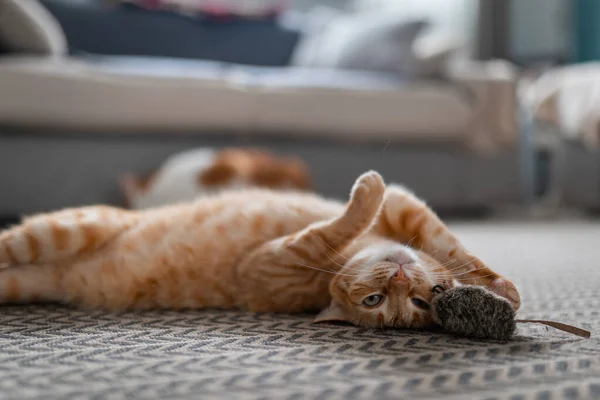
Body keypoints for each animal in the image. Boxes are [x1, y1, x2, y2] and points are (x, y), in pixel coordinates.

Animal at [0, 172, 516, 328]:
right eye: (375, 299)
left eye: (417, 303)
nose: (400, 278)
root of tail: (65, 281)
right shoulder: (407, 207)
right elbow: (453, 246)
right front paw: (502, 287)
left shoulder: (266, 264)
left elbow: (330, 228)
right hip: (72, 228)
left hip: (44, 250)